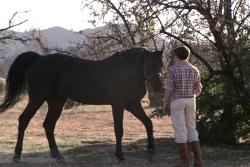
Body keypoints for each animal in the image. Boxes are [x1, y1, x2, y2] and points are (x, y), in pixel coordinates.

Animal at [0, 47, 163, 160]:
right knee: (24, 120)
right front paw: (120, 155)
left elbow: (148, 123)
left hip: (56, 102)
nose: (159, 87)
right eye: (149, 64)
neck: (125, 71)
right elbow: (119, 130)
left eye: (161, 64)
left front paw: (151, 148)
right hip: (37, 99)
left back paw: (57, 154)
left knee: (48, 125)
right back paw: (17, 154)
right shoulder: (118, 105)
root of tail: (38, 59)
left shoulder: (133, 104)